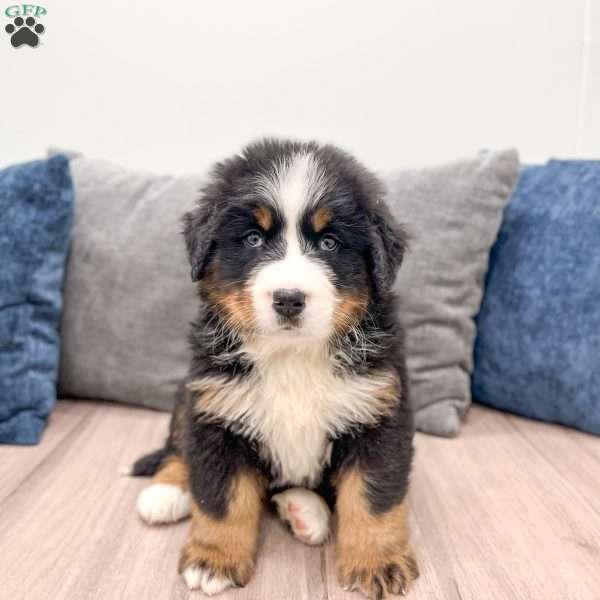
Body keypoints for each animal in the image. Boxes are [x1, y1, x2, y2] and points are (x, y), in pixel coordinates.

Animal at [129, 138, 420, 596]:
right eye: (252, 239)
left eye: (330, 243)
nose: (288, 298)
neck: (292, 356)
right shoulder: (216, 413)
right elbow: (221, 498)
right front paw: (214, 559)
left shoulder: (379, 413)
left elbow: (373, 497)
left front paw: (378, 560)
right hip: (187, 395)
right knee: (177, 446)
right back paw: (166, 491)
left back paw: (303, 511)